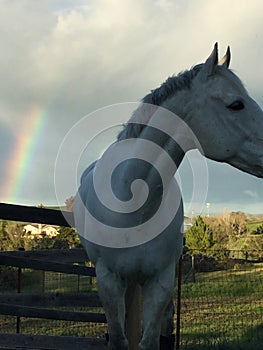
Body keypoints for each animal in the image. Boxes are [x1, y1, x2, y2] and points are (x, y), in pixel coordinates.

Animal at [73, 44, 263, 350]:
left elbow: (150, 340)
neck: (133, 204)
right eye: (236, 104)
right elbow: (118, 339)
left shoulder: (161, 281)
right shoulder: (109, 280)